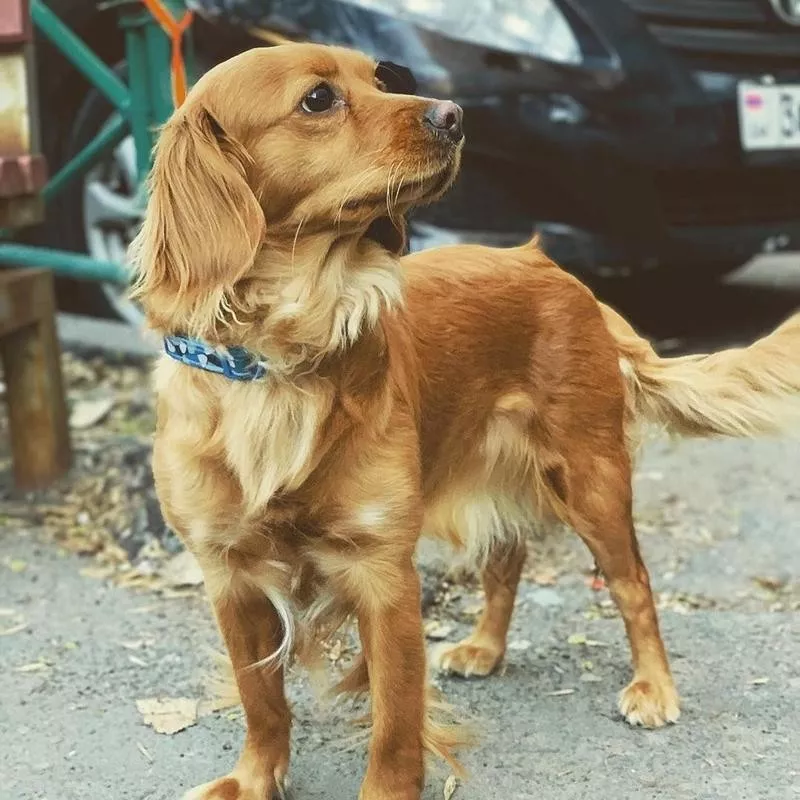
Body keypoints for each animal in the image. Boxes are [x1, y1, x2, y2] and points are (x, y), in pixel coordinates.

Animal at [131, 42, 800, 800]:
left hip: (590, 478)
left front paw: (386, 789)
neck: (280, 360)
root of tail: (563, 275)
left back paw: (654, 687)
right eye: (318, 99)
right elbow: (261, 700)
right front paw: (252, 779)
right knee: (506, 562)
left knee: (633, 584)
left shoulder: (383, 575)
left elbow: (395, 721)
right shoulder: (230, 577)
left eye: (380, 78)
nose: (453, 115)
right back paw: (486, 647)